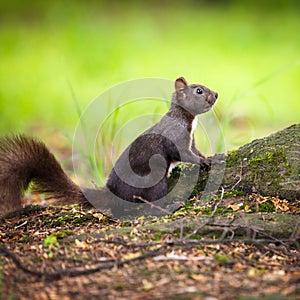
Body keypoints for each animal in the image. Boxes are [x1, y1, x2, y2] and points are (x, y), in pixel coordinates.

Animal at [0, 77, 220, 218]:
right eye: (199, 91)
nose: (217, 94)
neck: (186, 118)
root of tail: (112, 193)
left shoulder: (191, 140)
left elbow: (195, 151)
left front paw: (210, 157)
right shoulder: (176, 137)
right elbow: (184, 154)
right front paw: (203, 162)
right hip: (153, 179)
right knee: (150, 201)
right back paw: (169, 205)